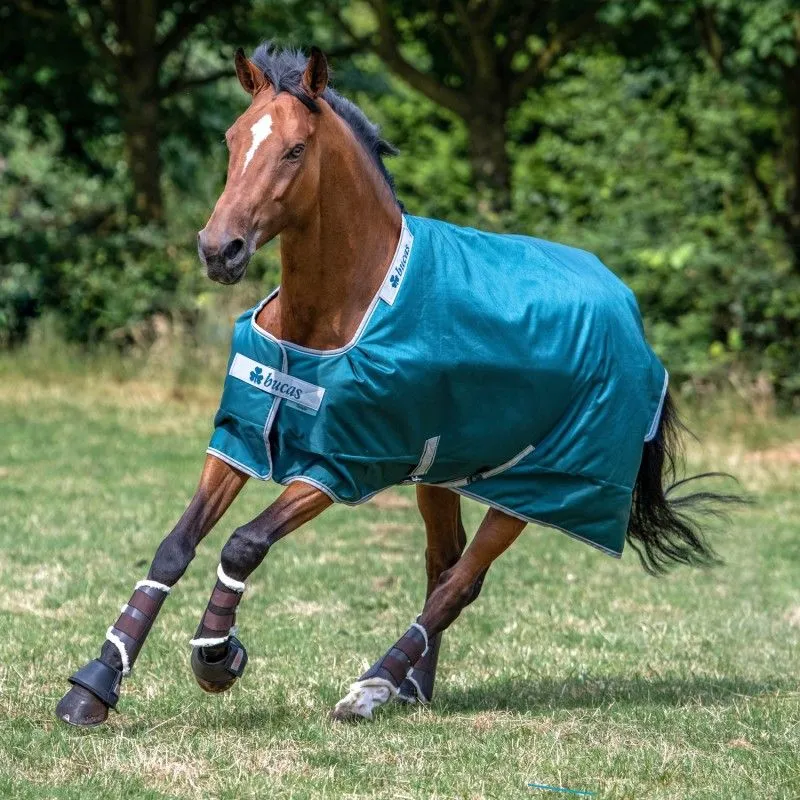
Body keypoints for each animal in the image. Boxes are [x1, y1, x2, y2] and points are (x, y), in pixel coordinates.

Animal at [55, 44, 735, 727]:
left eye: (295, 149)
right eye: (233, 138)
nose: (220, 250)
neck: (337, 310)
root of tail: (629, 308)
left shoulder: (340, 466)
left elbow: (243, 544)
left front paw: (217, 656)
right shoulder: (241, 438)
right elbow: (176, 545)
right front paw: (94, 684)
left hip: (539, 486)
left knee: (461, 581)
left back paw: (373, 686)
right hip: (441, 471)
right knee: (444, 564)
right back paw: (412, 687)